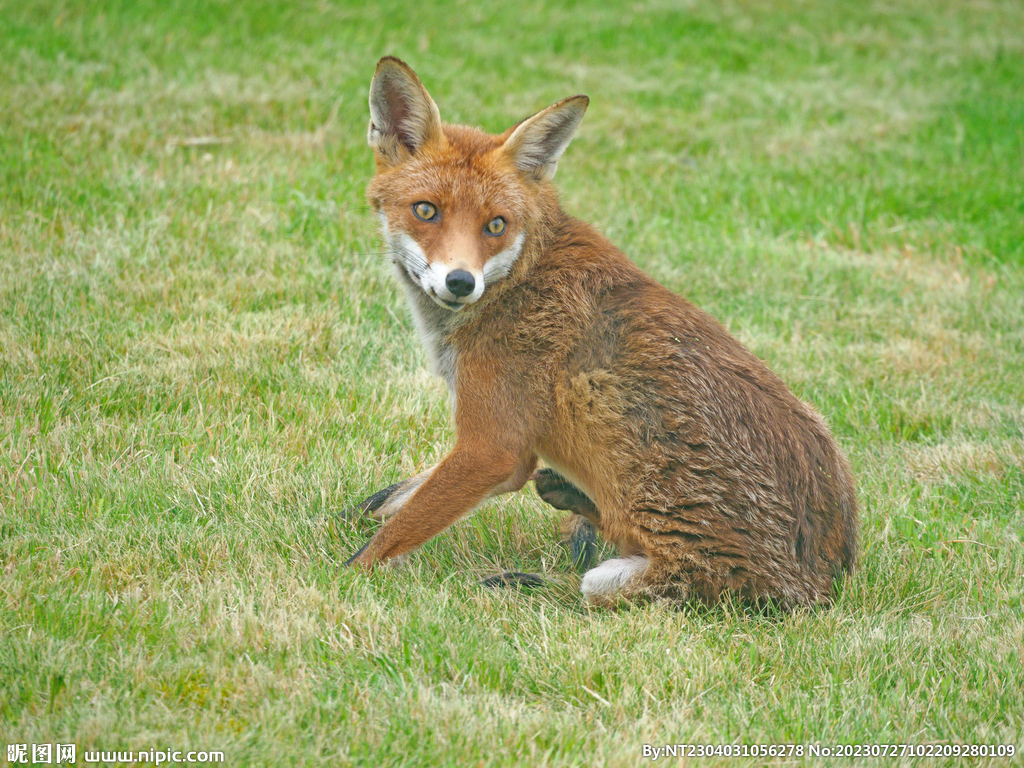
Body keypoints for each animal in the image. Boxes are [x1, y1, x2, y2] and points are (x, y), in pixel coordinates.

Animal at [348, 55, 860, 614]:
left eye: (496, 225)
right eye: (426, 210)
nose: (461, 282)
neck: (518, 280)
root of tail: (828, 583)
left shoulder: (494, 448)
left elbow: (387, 539)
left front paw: (341, 578)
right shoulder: (501, 452)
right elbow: (402, 499)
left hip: (659, 567)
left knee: (594, 585)